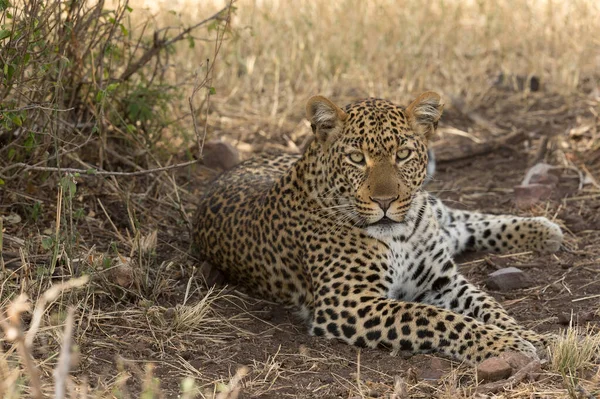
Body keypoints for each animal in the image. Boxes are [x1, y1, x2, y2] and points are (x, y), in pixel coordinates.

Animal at [195, 91, 564, 366]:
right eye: (357, 158)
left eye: (403, 154)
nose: (385, 201)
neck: (400, 235)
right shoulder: (350, 302)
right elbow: (437, 318)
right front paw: (506, 344)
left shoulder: (441, 279)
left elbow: (489, 307)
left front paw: (530, 336)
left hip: (432, 209)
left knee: (463, 218)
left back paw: (545, 229)